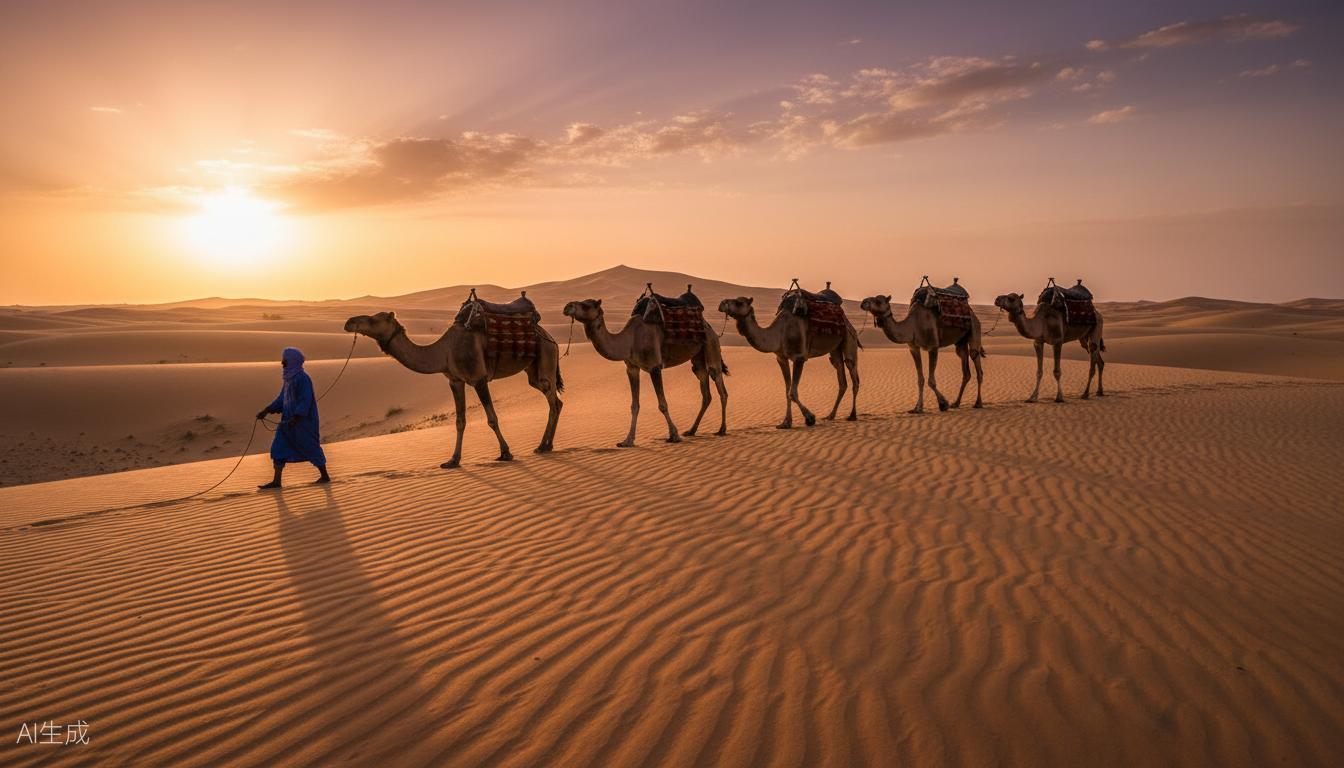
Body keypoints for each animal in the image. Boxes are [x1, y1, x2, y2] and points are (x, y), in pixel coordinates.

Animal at [342, 307, 563, 468]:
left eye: (374, 319)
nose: (349, 322)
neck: (444, 352)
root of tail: (550, 337)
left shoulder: (479, 378)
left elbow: (492, 418)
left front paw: (505, 453)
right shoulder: (455, 381)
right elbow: (460, 421)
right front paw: (453, 460)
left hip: (546, 356)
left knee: (553, 401)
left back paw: (542, 445)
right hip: (533, 371)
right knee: (555, 401)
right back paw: (547, 445)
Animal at [561, 296, 728, 446]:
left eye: (586, 305)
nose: (567, 306)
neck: (629, 341)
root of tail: (709, 326)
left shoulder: (654, 367)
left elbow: (662, 404)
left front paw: (674, 435)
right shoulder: (632, 369)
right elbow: (634, 405)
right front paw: (627, 440)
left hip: (711, 345)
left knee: (719, 384)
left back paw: (721, 429)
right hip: (697, 358)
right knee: (705, 390)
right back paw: (691, 430)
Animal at [717, 295, 860, 428]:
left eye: (739, 302)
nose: (722, 303)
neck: (779, 333)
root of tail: (847, 321)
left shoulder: (799, 357)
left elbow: (792, 392)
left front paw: (810, 418)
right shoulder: (781, 358)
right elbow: (787, 391)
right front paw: (786, 422)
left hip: (849, 338)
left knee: (853, 373)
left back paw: (852, 415)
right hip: (835, 350)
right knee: (841, 376)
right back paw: (830, 415)